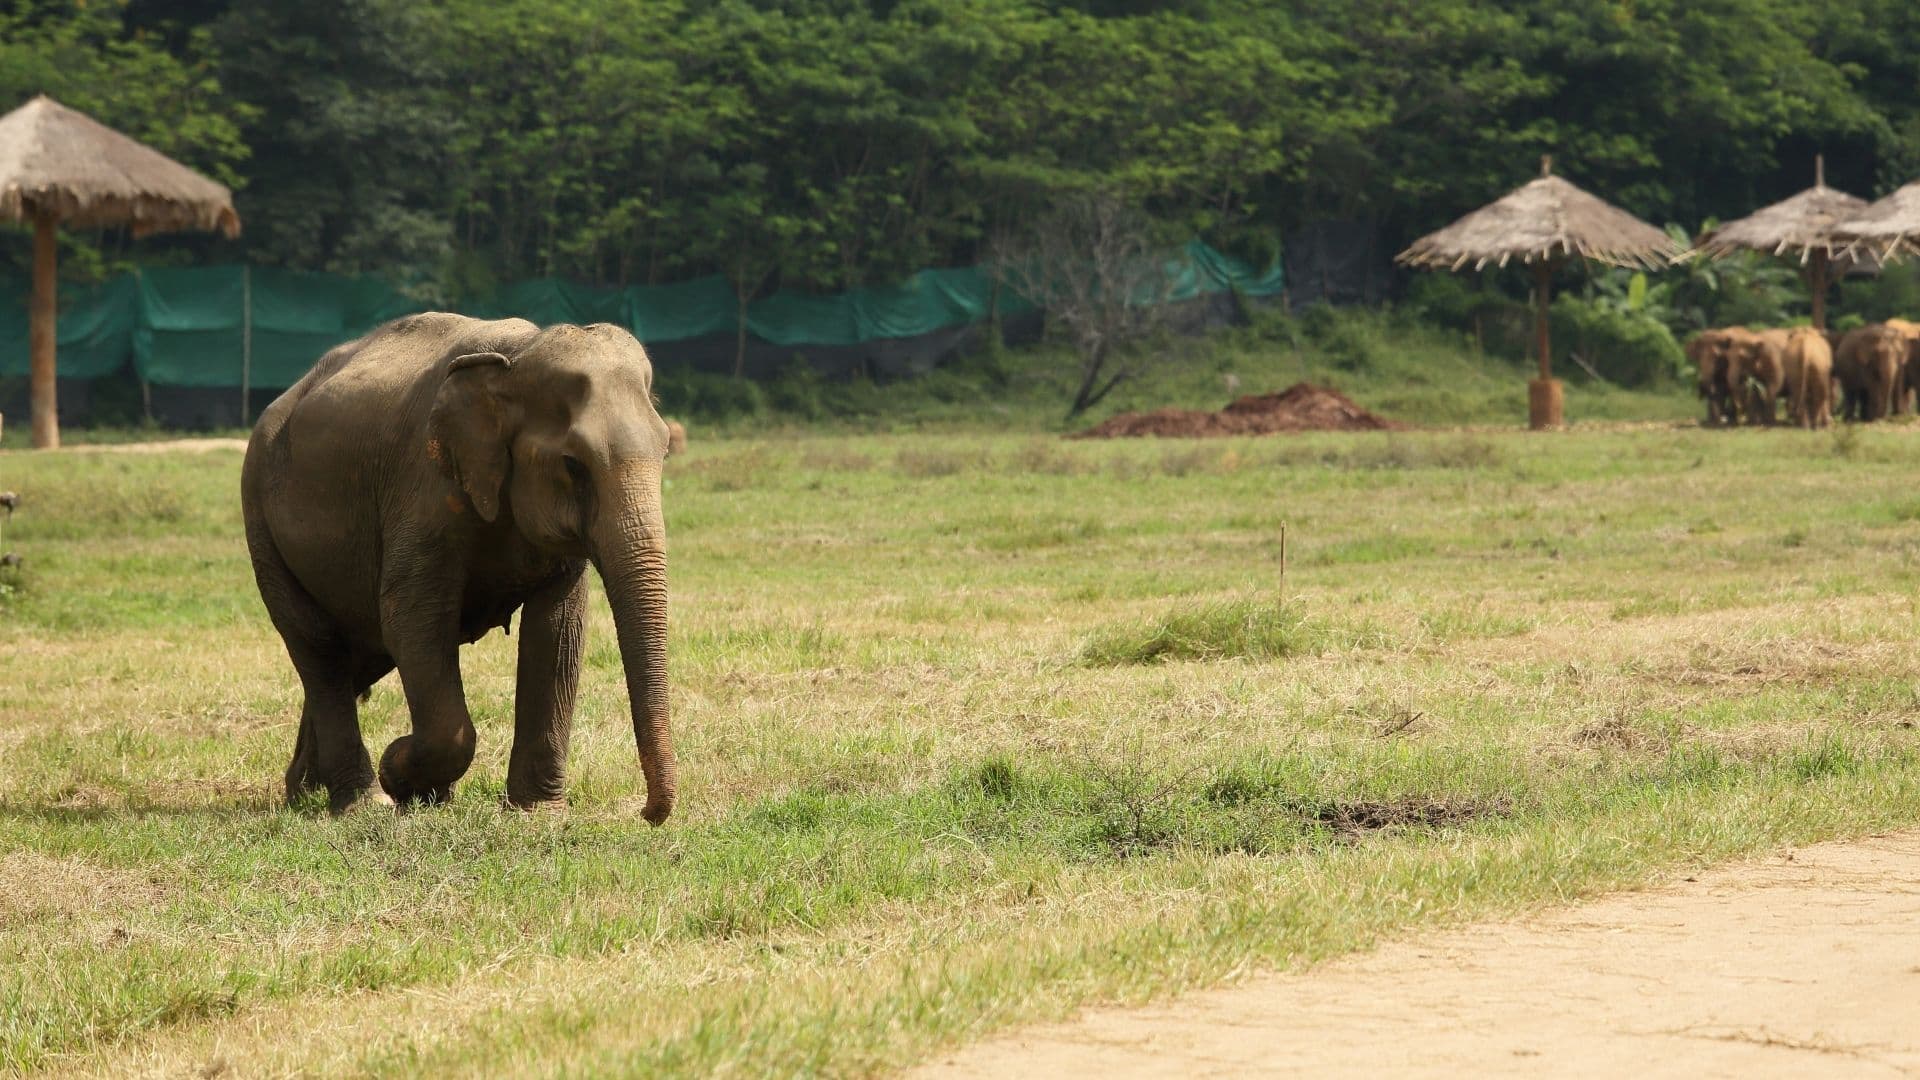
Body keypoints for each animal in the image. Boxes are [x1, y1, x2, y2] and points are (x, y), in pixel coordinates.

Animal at [241, 313, 677, 821]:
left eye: (666, 450)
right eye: (573, 464)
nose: (646, 813)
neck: (518, 356)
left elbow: (557, 633)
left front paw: (536, 813)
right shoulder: (424, 489)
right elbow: (412, 620)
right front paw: (399, 771)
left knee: (358, 657)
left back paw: (307, 791)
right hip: (262, 524)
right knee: (319, 649)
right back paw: (362, 802)